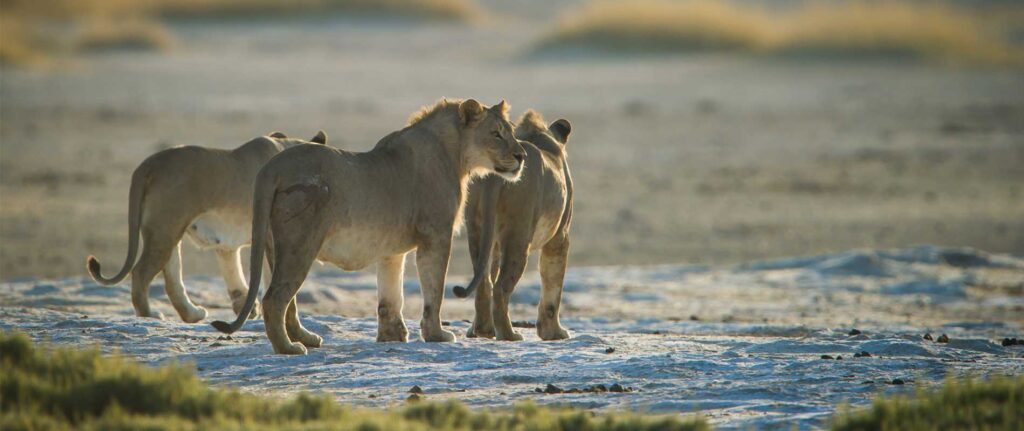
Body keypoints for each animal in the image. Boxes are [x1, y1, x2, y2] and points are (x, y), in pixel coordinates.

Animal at [86, 131, 327, 323]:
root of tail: (148, 165)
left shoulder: (226, 244)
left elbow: (233, 272)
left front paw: (246, 308)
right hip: (165, 228)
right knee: (141, 272)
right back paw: (150, 315)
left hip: (168, 232)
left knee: (172, 279)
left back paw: (193, 314)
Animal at [211, 99, 526, 355]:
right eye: (496, 133)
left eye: (511, 131)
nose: (522, 156)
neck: (456, 155)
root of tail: (271, 167)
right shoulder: (436, 235)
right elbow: (434, 290)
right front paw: (437, 335)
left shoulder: (391, 249)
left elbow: (391, 294)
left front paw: (392, 336)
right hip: (300, 243)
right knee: (275, 299)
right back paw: (289, 348)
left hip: (274, 246)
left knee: (289, 301)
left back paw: (306, 338)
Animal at [453, 110, 573, 342]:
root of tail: (494, 177)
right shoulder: (559, 235)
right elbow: (553, 283)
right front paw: (553, 333)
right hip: (519, 233)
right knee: (500, 288)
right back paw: (509, 334)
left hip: (478, 228)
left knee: (484, 282)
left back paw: (482, 331)